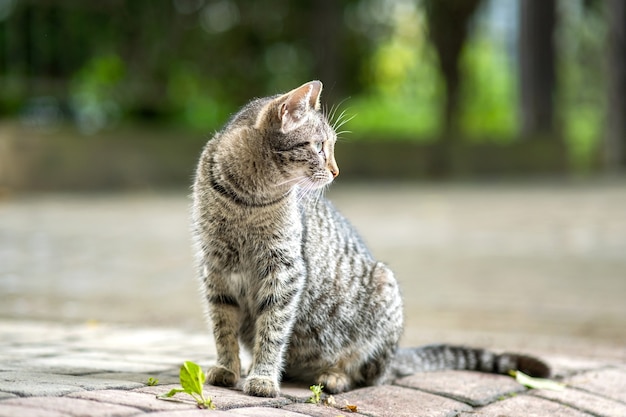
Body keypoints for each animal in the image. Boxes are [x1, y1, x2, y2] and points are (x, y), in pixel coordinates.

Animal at [190, 79, 544, 396]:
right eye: (319, 146)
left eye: (331, 146)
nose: (336, 171)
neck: (246, 198)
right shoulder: (215, 267)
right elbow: (223, 326)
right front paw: (228, 368)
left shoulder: (284, 269)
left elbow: (273, 328)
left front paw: (263, 376)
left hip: (383, 292)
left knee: (369, 375)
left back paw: (334, 376)